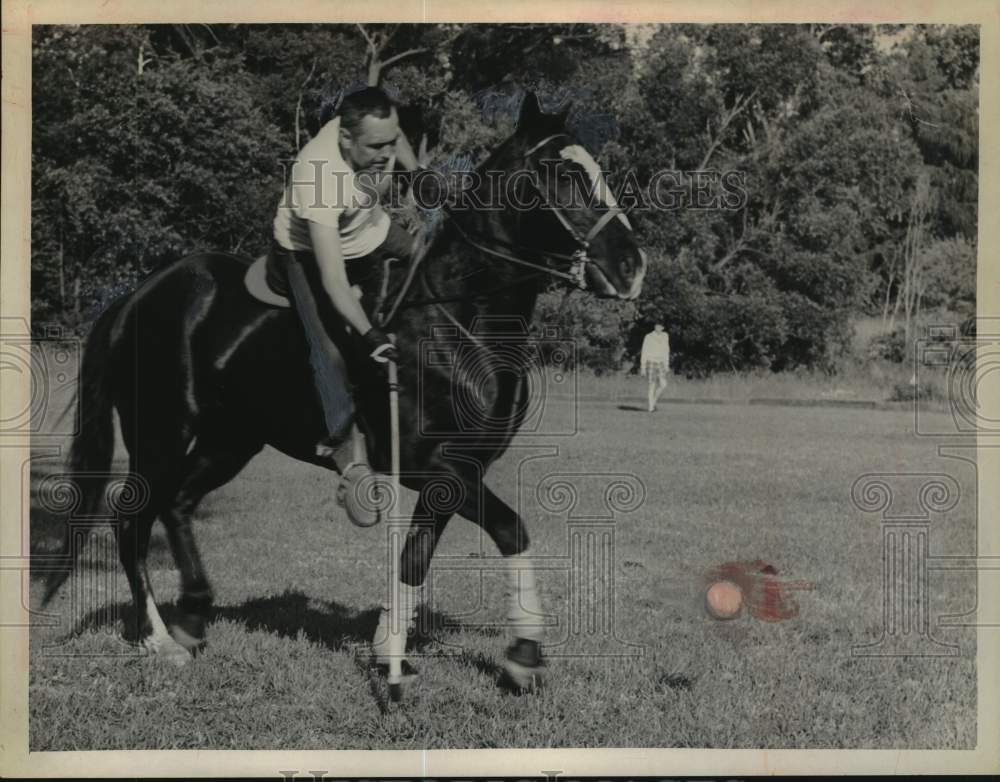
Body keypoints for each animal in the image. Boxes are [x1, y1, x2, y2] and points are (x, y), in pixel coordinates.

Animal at [48, 95, 648, 700]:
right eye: (562, 173)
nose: (631, 267)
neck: (457, 321)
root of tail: (134, 297)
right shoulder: (433, 466)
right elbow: (510, 530)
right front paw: (523, 653)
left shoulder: (456, 473)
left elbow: (414, 559)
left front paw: (391, 652)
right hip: (161, 432)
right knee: (130, 519)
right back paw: (158, 638)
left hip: (230, 440)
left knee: (177, 505)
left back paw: (193, 616)